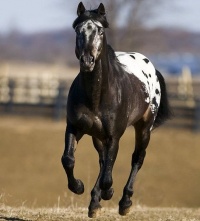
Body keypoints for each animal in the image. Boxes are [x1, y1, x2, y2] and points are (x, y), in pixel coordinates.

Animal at [61, 2, 170, 218]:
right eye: (78, 30)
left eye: (100, 30)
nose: (87, 60)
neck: (96, 95)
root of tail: (152, 67)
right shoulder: (74, 128)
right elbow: (68, 159)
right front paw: (79, 187)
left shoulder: (114, 137)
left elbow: (108, 175)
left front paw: (108, 193)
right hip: (97, 136)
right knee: (103, 161)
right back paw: (95, 203)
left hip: (144, 127)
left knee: (137, 158)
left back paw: (124, 202)